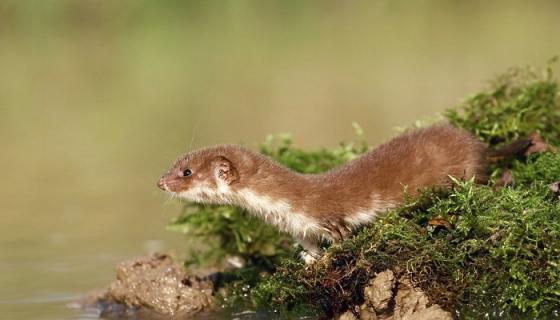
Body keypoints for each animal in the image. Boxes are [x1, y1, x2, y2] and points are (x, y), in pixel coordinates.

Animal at [156, 124, 486, 262]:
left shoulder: (328, 217)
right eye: (175, 163)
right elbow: (308, 246)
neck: (283, 210)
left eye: (186, 172)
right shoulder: (299, 228)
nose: (159, 182)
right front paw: (310, 259)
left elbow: (341, 237)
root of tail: (473, 142)